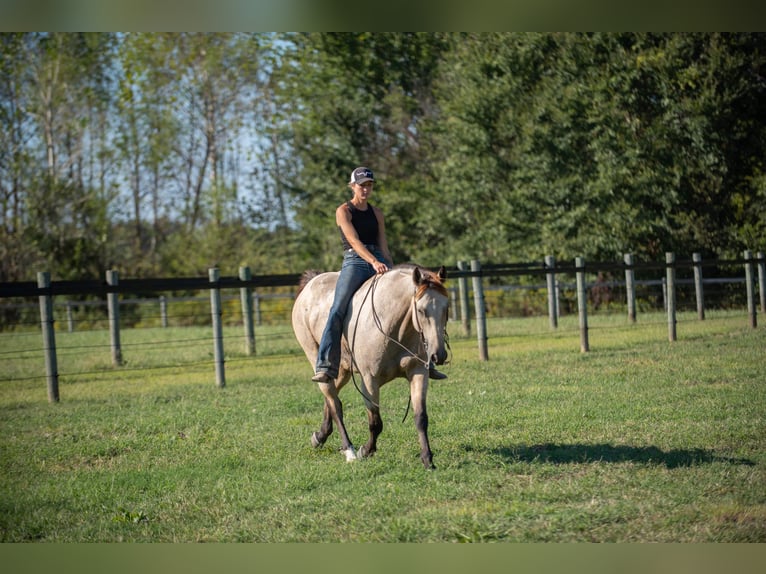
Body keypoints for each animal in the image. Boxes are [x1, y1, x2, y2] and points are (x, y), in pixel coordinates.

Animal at [291, 264, 450, 469]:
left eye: (446, 308)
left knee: (331, 399)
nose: (439, 355)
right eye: (421, 310)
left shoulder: (418, 372)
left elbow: (421, 417)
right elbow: (376, 422)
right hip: (315, 359)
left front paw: (428, 460)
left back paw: (320, 436)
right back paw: (349, 450)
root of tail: (310, 284)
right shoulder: (369, 380)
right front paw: (365, 451)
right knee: (335, 405)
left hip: (341, 371)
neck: (393, 327)